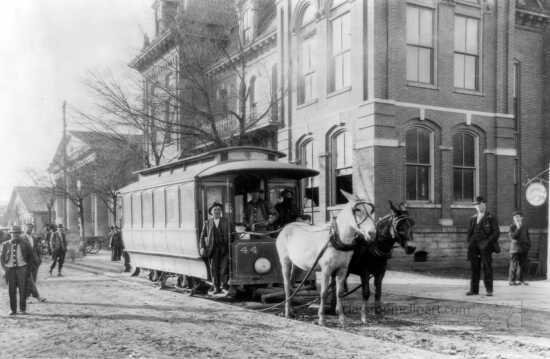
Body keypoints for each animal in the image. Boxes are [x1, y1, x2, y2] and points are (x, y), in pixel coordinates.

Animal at [276, 193, 380, 328]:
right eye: (357, 210)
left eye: (370, 210)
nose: (372, 233)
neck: (337, 239)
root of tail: (286, 227)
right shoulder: (326, 269)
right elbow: (324, 293)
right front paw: (321, 319)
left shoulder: (342, 269)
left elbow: (339, 292)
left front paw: (342, 319)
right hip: (285, 261)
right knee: (286, 284)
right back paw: (287, 312)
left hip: (298, 266)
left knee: (292, 284)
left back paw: (292, 310)